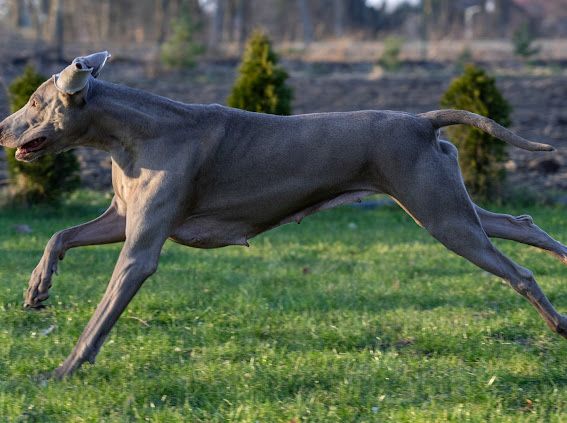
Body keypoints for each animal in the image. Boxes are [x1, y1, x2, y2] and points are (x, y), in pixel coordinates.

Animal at [1, 51, 567, 380]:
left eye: (35, 101)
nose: (2, 128)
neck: (134, 133)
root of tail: (421, 120)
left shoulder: (139, 249)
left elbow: (101, 314)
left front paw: (63, 370)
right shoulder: (121, 219)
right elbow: (60, 235)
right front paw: (36, 288)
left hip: (442, 217)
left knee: (519, 272)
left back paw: (557, 322)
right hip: (450, 207)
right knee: (522, 225)